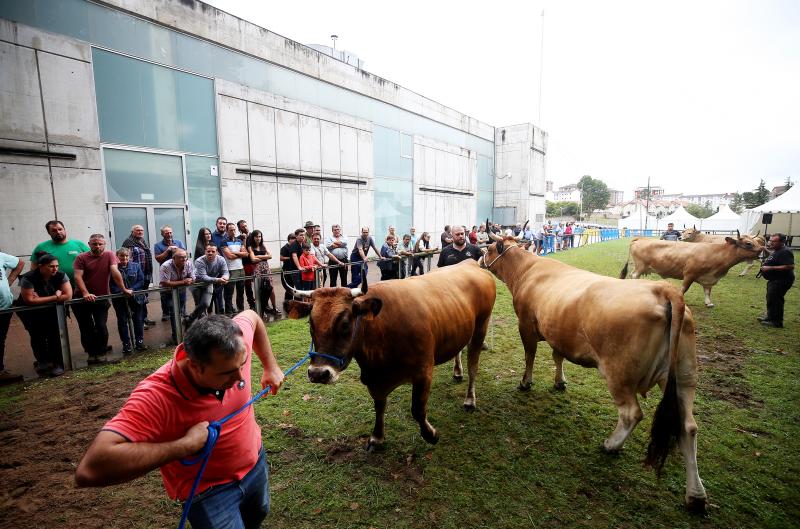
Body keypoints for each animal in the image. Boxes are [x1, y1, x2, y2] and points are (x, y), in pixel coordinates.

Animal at [282, 260, 494, 450]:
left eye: (345, 323)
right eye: (310, 323)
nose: (318, 374)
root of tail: (470, 263)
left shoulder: (424, 371)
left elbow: (418, 409)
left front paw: (431, 435)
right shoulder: (375, 380)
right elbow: (379, 406)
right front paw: (377, 437)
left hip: (481, 327)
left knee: (473, 366)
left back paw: (470, 399)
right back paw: (457, 372)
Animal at [482, 236, 708, 512]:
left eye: (489, 249)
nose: (479, 258)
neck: (527, 270)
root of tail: (664, 289)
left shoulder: (525, 324)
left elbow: (530, 356)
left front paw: (526, 382)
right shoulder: (559, 332)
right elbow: (558, 357)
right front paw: (560, 382)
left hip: (619, 374)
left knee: (631, 413)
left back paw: (611, 445)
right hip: (684, 378)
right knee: (688, 428)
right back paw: (696, 495)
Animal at [620, 232, 764, 304]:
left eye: (756, 242)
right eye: (749, 243)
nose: (762, 249)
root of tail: (641, 238)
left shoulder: (709, 278)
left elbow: (707, 291)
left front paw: (708, 302)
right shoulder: (689, 274)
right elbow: (684, 289)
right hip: (640, 265)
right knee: (634, 275)